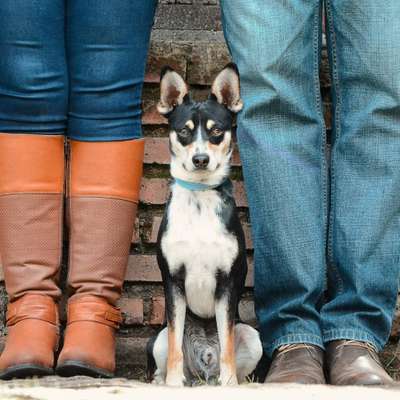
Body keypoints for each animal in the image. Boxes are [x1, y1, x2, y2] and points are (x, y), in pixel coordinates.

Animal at [146, 65, 262, 388]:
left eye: (216, 131)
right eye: (184, 131)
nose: (201, 159)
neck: (199, 197)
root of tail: (202, 370)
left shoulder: (227, 282)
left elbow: (227, 342)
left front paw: (229, 383)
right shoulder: (173, 281)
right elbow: (176, 343)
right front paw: (173, 383)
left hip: (253, 337)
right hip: (157, 338)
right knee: (167, 350)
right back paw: (164, 380)